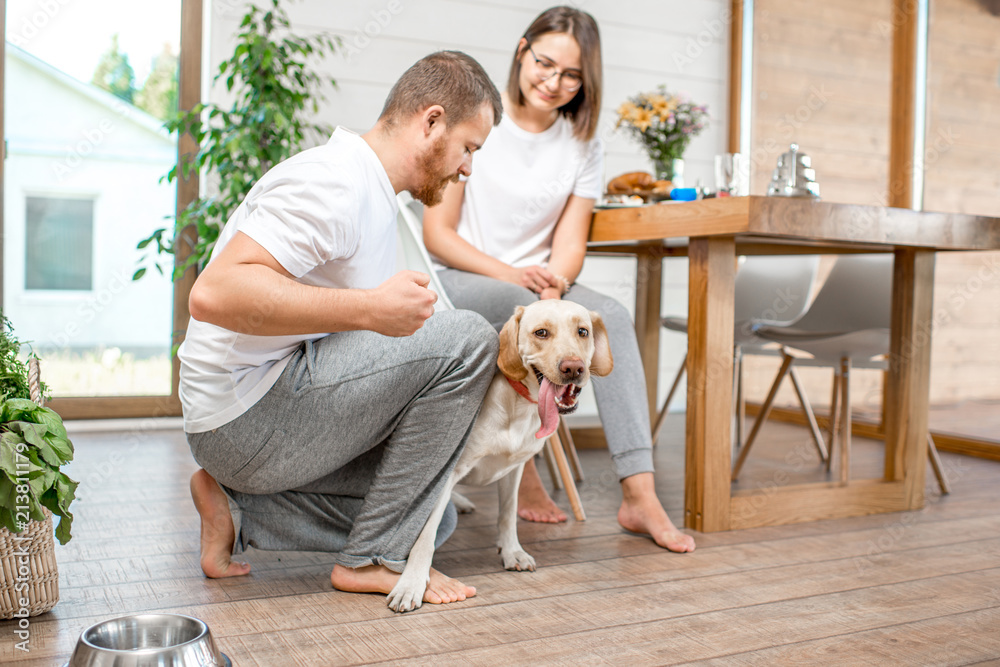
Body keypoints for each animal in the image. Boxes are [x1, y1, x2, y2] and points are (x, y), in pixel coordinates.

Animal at [386, 300, 612, 612]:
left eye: (583, 331)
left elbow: (507, 513)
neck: (518, 407)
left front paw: (512, 551)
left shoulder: (514, 468)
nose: (573, 367)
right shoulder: (446, 471)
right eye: (541, 333)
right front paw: (411, 584)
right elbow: (424, 534)